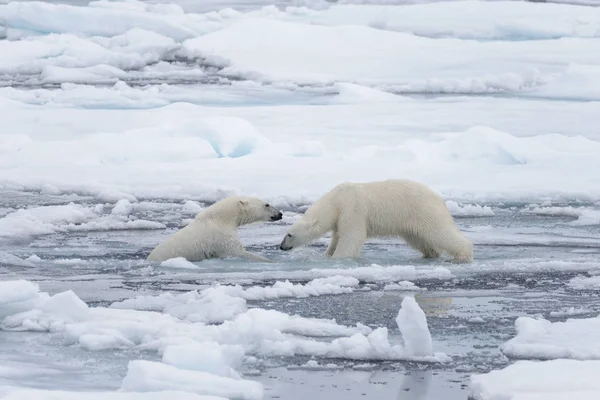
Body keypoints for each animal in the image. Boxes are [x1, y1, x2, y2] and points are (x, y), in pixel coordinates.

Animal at [149, 196, 282, 262]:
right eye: (267, 204)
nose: (280, 214)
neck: (222, 218)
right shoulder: (221, 237)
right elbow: (237, 251)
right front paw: (271, 261)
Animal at [280, 180, 474, 264]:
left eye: (289, 234)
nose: (281, 247)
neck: (336, 200)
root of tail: (439, 199)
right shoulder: (339, 217)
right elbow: (337, 236)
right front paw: (326, 254)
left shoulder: (353, 208)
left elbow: (352, 236)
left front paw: (338, 257)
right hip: (411, 221)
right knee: (419, 238)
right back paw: (430, 254)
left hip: (423, 211)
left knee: (440, 232)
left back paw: (462, 255)